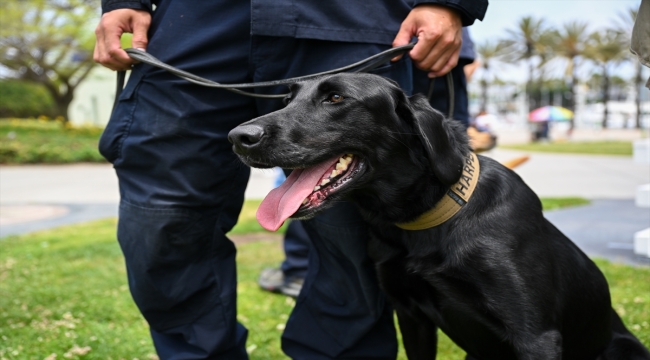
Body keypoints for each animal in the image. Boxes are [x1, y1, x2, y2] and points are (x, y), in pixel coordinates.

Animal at [225, 73, 644, 360]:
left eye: (336, 97)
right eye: (286, 98)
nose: (237, 137)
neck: (425, 221)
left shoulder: (536, 336)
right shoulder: (412, 317)